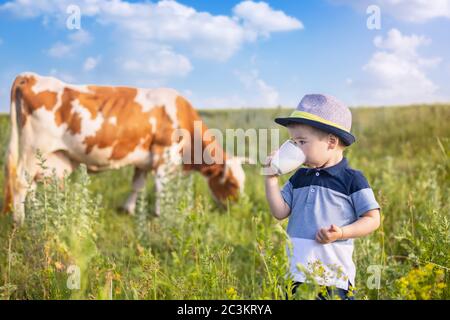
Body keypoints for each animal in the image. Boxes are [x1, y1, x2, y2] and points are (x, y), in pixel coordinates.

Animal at [0, 72, 246, 225]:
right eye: (233, 183)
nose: (237, 209)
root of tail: (30, 76)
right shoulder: (164, 154)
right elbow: (161, 188)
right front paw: (160, 214)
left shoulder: (144, 159)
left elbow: (137, 185)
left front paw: (128, 210)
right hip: (33, 149)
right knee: (20, 182)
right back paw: (21, 222)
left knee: (31, 185)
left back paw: (35, 213)